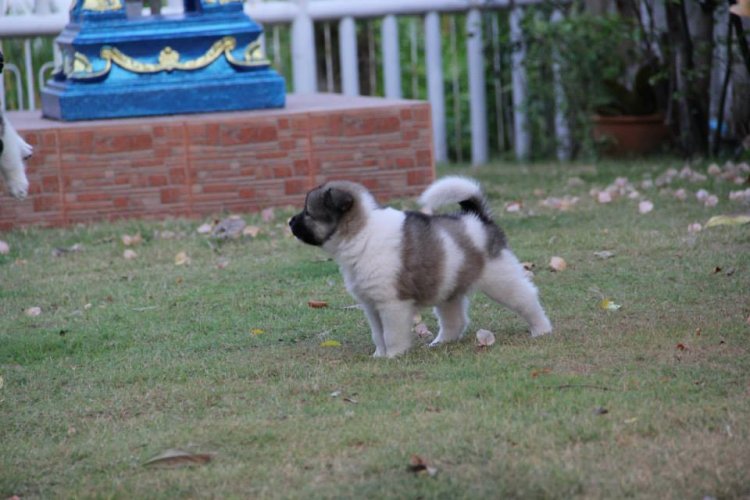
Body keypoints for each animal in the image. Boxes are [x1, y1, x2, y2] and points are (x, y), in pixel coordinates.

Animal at [289, 176, 552, 358]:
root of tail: (479, 218)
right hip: (448, 289)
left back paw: (541, 329)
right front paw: (379, 355)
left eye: (308, 212)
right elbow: (378, 334)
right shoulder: (372, 306)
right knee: (455, 320)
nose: (290, 222)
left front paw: (393, 355)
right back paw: (440, 342)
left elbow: (391, 334)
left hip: (501, 278)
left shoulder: (392, 304)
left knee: (527, 298)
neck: (361, 233)